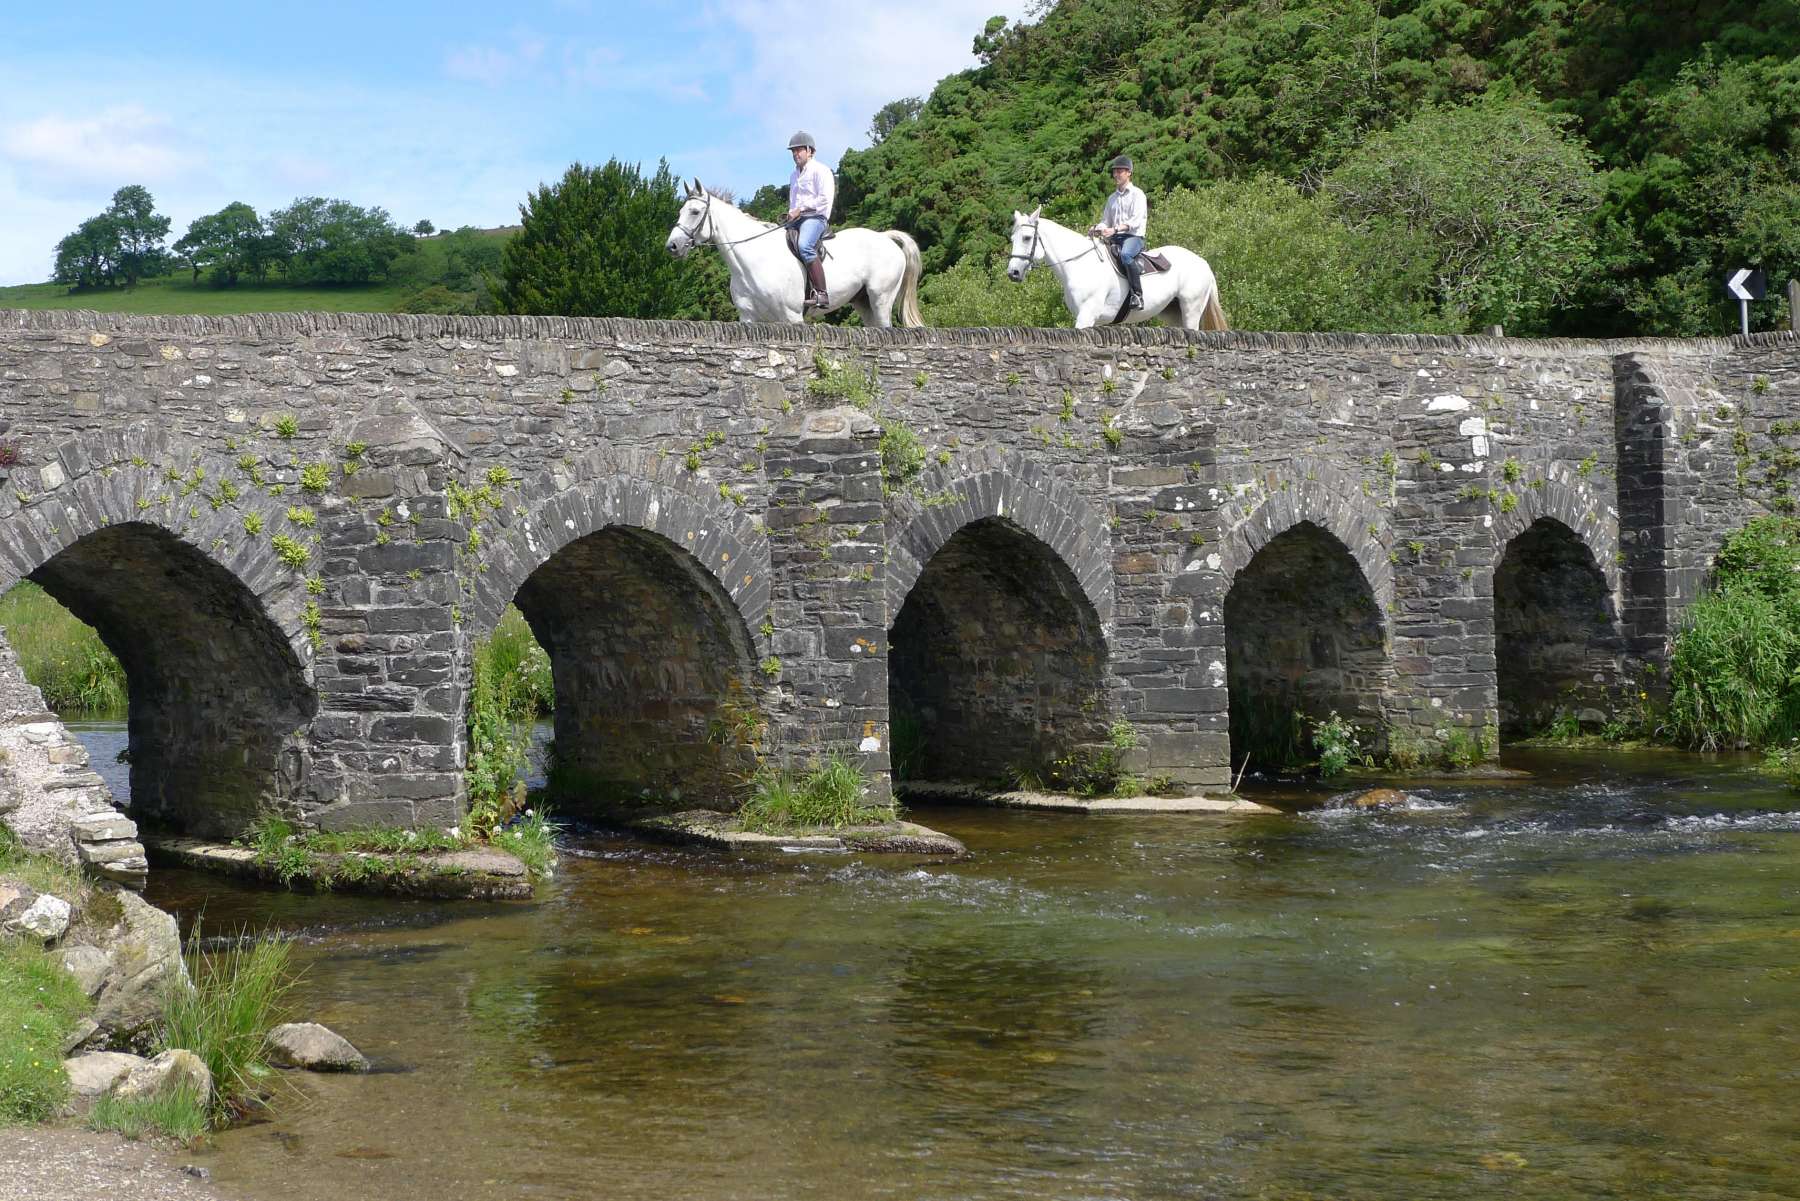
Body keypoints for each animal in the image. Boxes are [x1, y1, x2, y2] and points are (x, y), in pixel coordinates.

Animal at [662, 180, 921, 325]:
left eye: (695, 212)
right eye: (680, 211)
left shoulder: (792, 317)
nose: (672, 246)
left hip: (881, 299)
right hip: (863, 302)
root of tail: (885, 238)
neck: (752, 262)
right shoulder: (748, 319)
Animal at [1008, 205, 1231, 329]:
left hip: (1191, 308)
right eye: (1012, 238)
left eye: (1026, 237)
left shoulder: (1086, 316)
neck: (1079, 265)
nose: (1013, 273)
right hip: (1173, 314)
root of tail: (1203, 263)